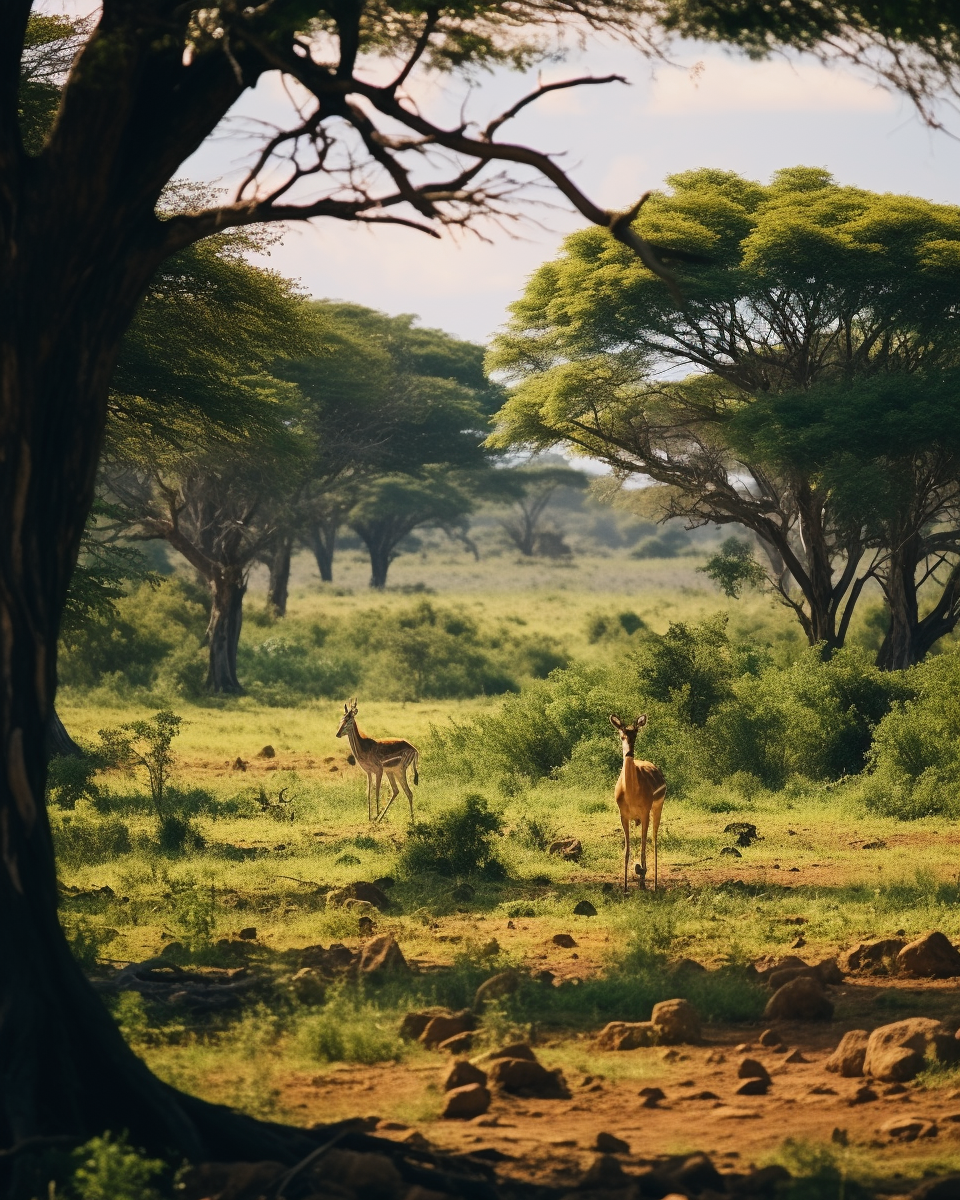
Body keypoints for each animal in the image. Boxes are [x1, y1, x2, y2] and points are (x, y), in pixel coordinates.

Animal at [612, 710, 662, 892]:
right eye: (622, 735)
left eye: (635, 734)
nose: (629, 753)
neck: (631, 794)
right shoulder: (623, 815)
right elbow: (627, 850)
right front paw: (626, 886)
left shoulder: (645, 812)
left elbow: (642, 846)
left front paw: (642, 882)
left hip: (657, 808)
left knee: (654, 841)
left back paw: (654, 883)